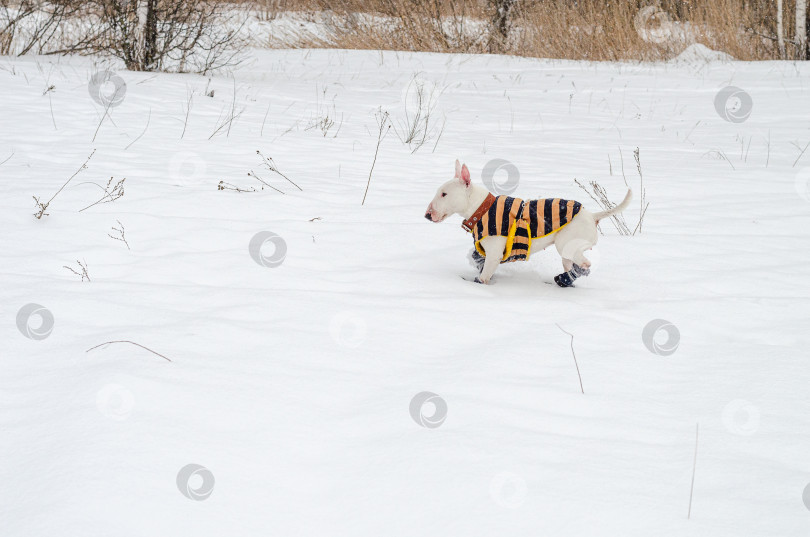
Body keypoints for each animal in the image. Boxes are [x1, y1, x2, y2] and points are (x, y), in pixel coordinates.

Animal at [422, 159, 632, 284]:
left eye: (444, 194)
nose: (427, 215)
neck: (482, 209)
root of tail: (592, 216)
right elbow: (476, 257)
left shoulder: (494, 254)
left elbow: (484, 275)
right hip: (568, 251)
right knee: (575, 266)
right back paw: (563, 280)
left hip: (566, 243)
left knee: (585, 264)